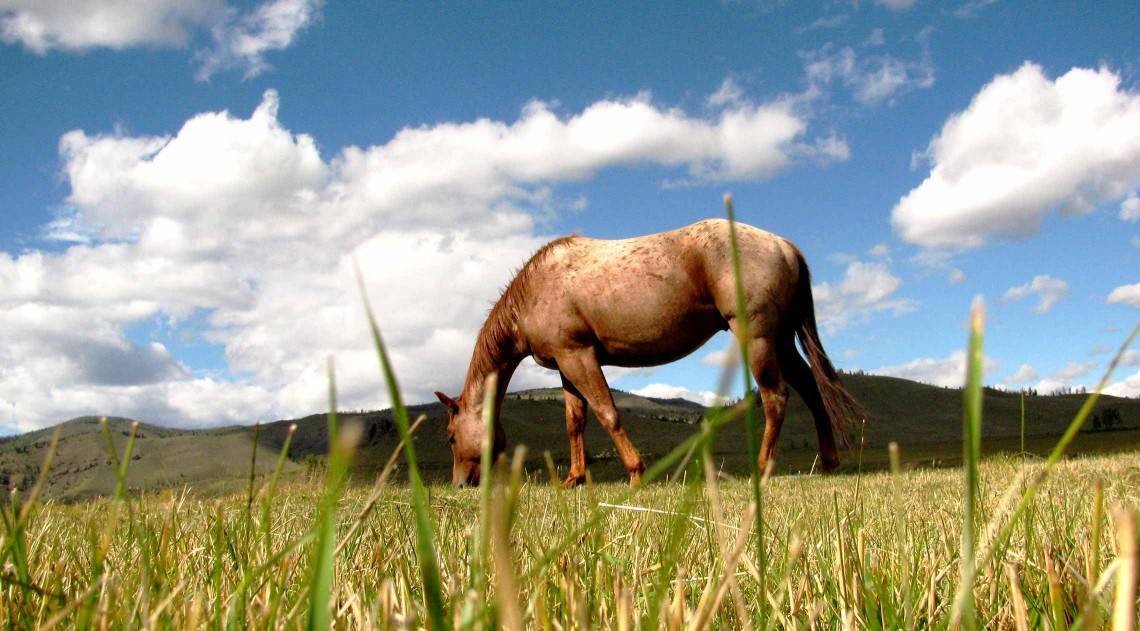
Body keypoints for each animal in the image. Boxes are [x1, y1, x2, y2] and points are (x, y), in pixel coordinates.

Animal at [430, 216, 857, 485]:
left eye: (450, 437)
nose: (460, 484)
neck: (535, 288)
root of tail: (783, 245)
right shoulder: (565, 365)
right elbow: (575, 422)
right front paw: (574, 479)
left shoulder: (579, 356)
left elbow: (607, 414)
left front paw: (636, 473)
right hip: (781, 338)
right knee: (811, 390)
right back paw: (829, 464)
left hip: (758, 338)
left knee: (776, 397)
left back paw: (764, 468)